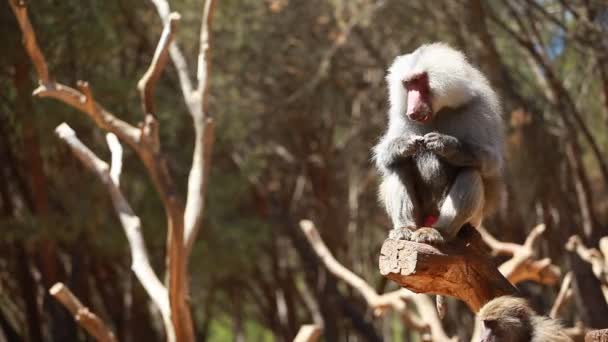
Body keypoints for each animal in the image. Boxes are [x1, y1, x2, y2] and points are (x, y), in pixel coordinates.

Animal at [370, 42, 504, 244]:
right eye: (407, 84)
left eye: (418, 81)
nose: (411, 109)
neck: (439, 110)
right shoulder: (400, 115)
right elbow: (384, 155)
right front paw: (404, 145)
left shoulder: (480, 108)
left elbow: (491, 162)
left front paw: (446, 144)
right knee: (398, 166)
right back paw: (405, 228)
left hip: (471, 217)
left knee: (471, 172)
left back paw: (438, 232)